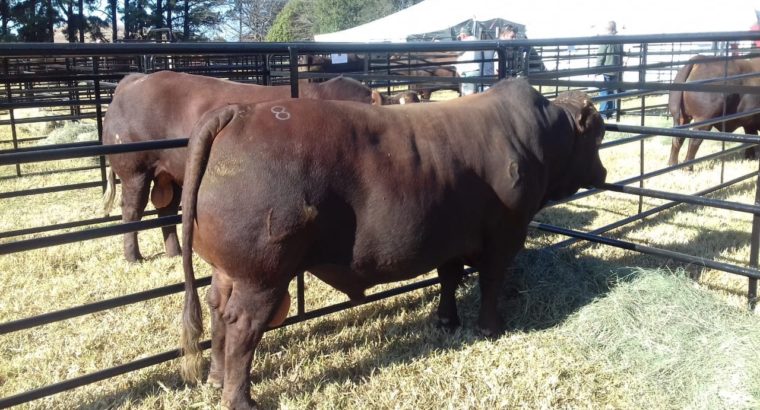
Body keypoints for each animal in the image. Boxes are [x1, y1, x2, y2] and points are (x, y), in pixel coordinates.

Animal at [102, 70, 378, 262]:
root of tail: (134, 81)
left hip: (169, 173)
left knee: (165, 208)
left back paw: (176, 252)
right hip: (133, 168)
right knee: (132, 211)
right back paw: (134, 257)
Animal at [179, 78, 607, 409]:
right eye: (599, 134)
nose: (603, 173)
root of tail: (239, 113)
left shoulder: (449, 236)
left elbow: (449, 277)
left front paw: (447, 320)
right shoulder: (506, 233)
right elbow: (491, 281)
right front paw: (490, 328)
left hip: (227, 270)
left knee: (218, 309)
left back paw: (216, 377)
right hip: (262, 275)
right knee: (243, 324)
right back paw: (240, 398)